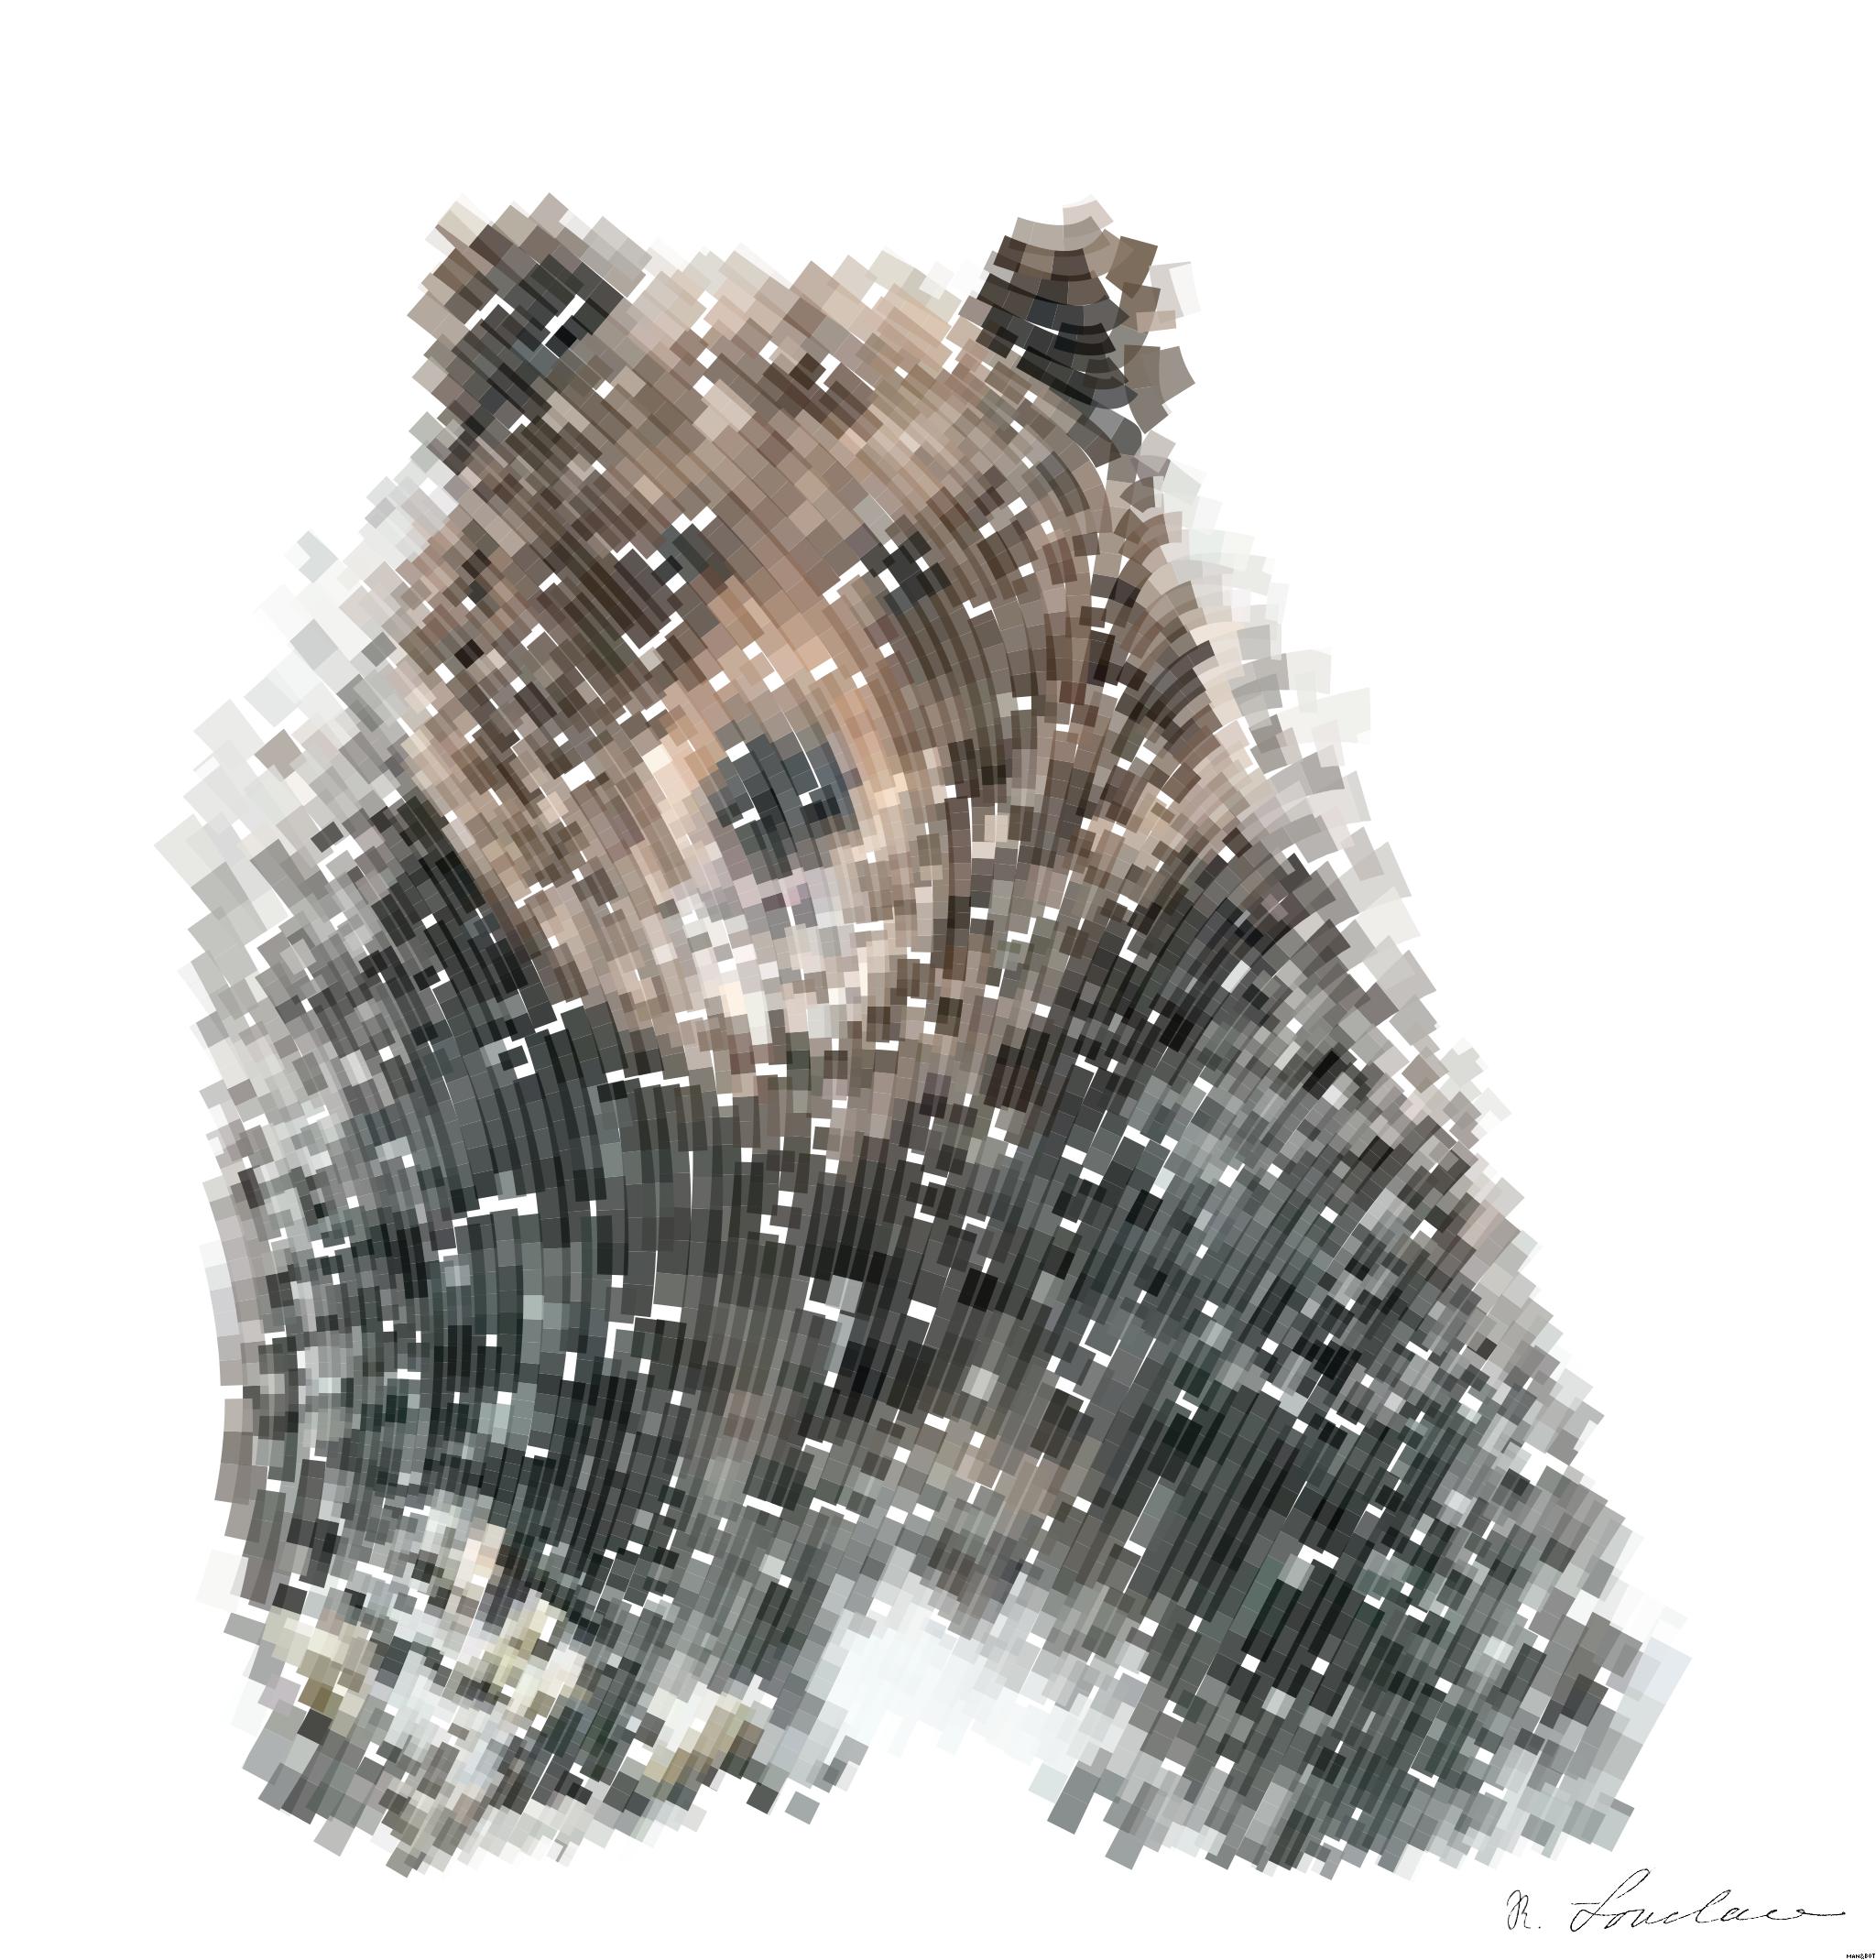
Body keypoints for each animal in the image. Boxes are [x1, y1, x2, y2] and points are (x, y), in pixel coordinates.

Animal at [169, 198, 1677, 1873]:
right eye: (663, 551)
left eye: (912, 556)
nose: (777, 785)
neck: (832, 1095)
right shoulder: (498, 1134)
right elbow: (442, 1465)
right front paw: (486, 1676)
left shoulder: (1191, 1167)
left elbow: (1374, 1537)